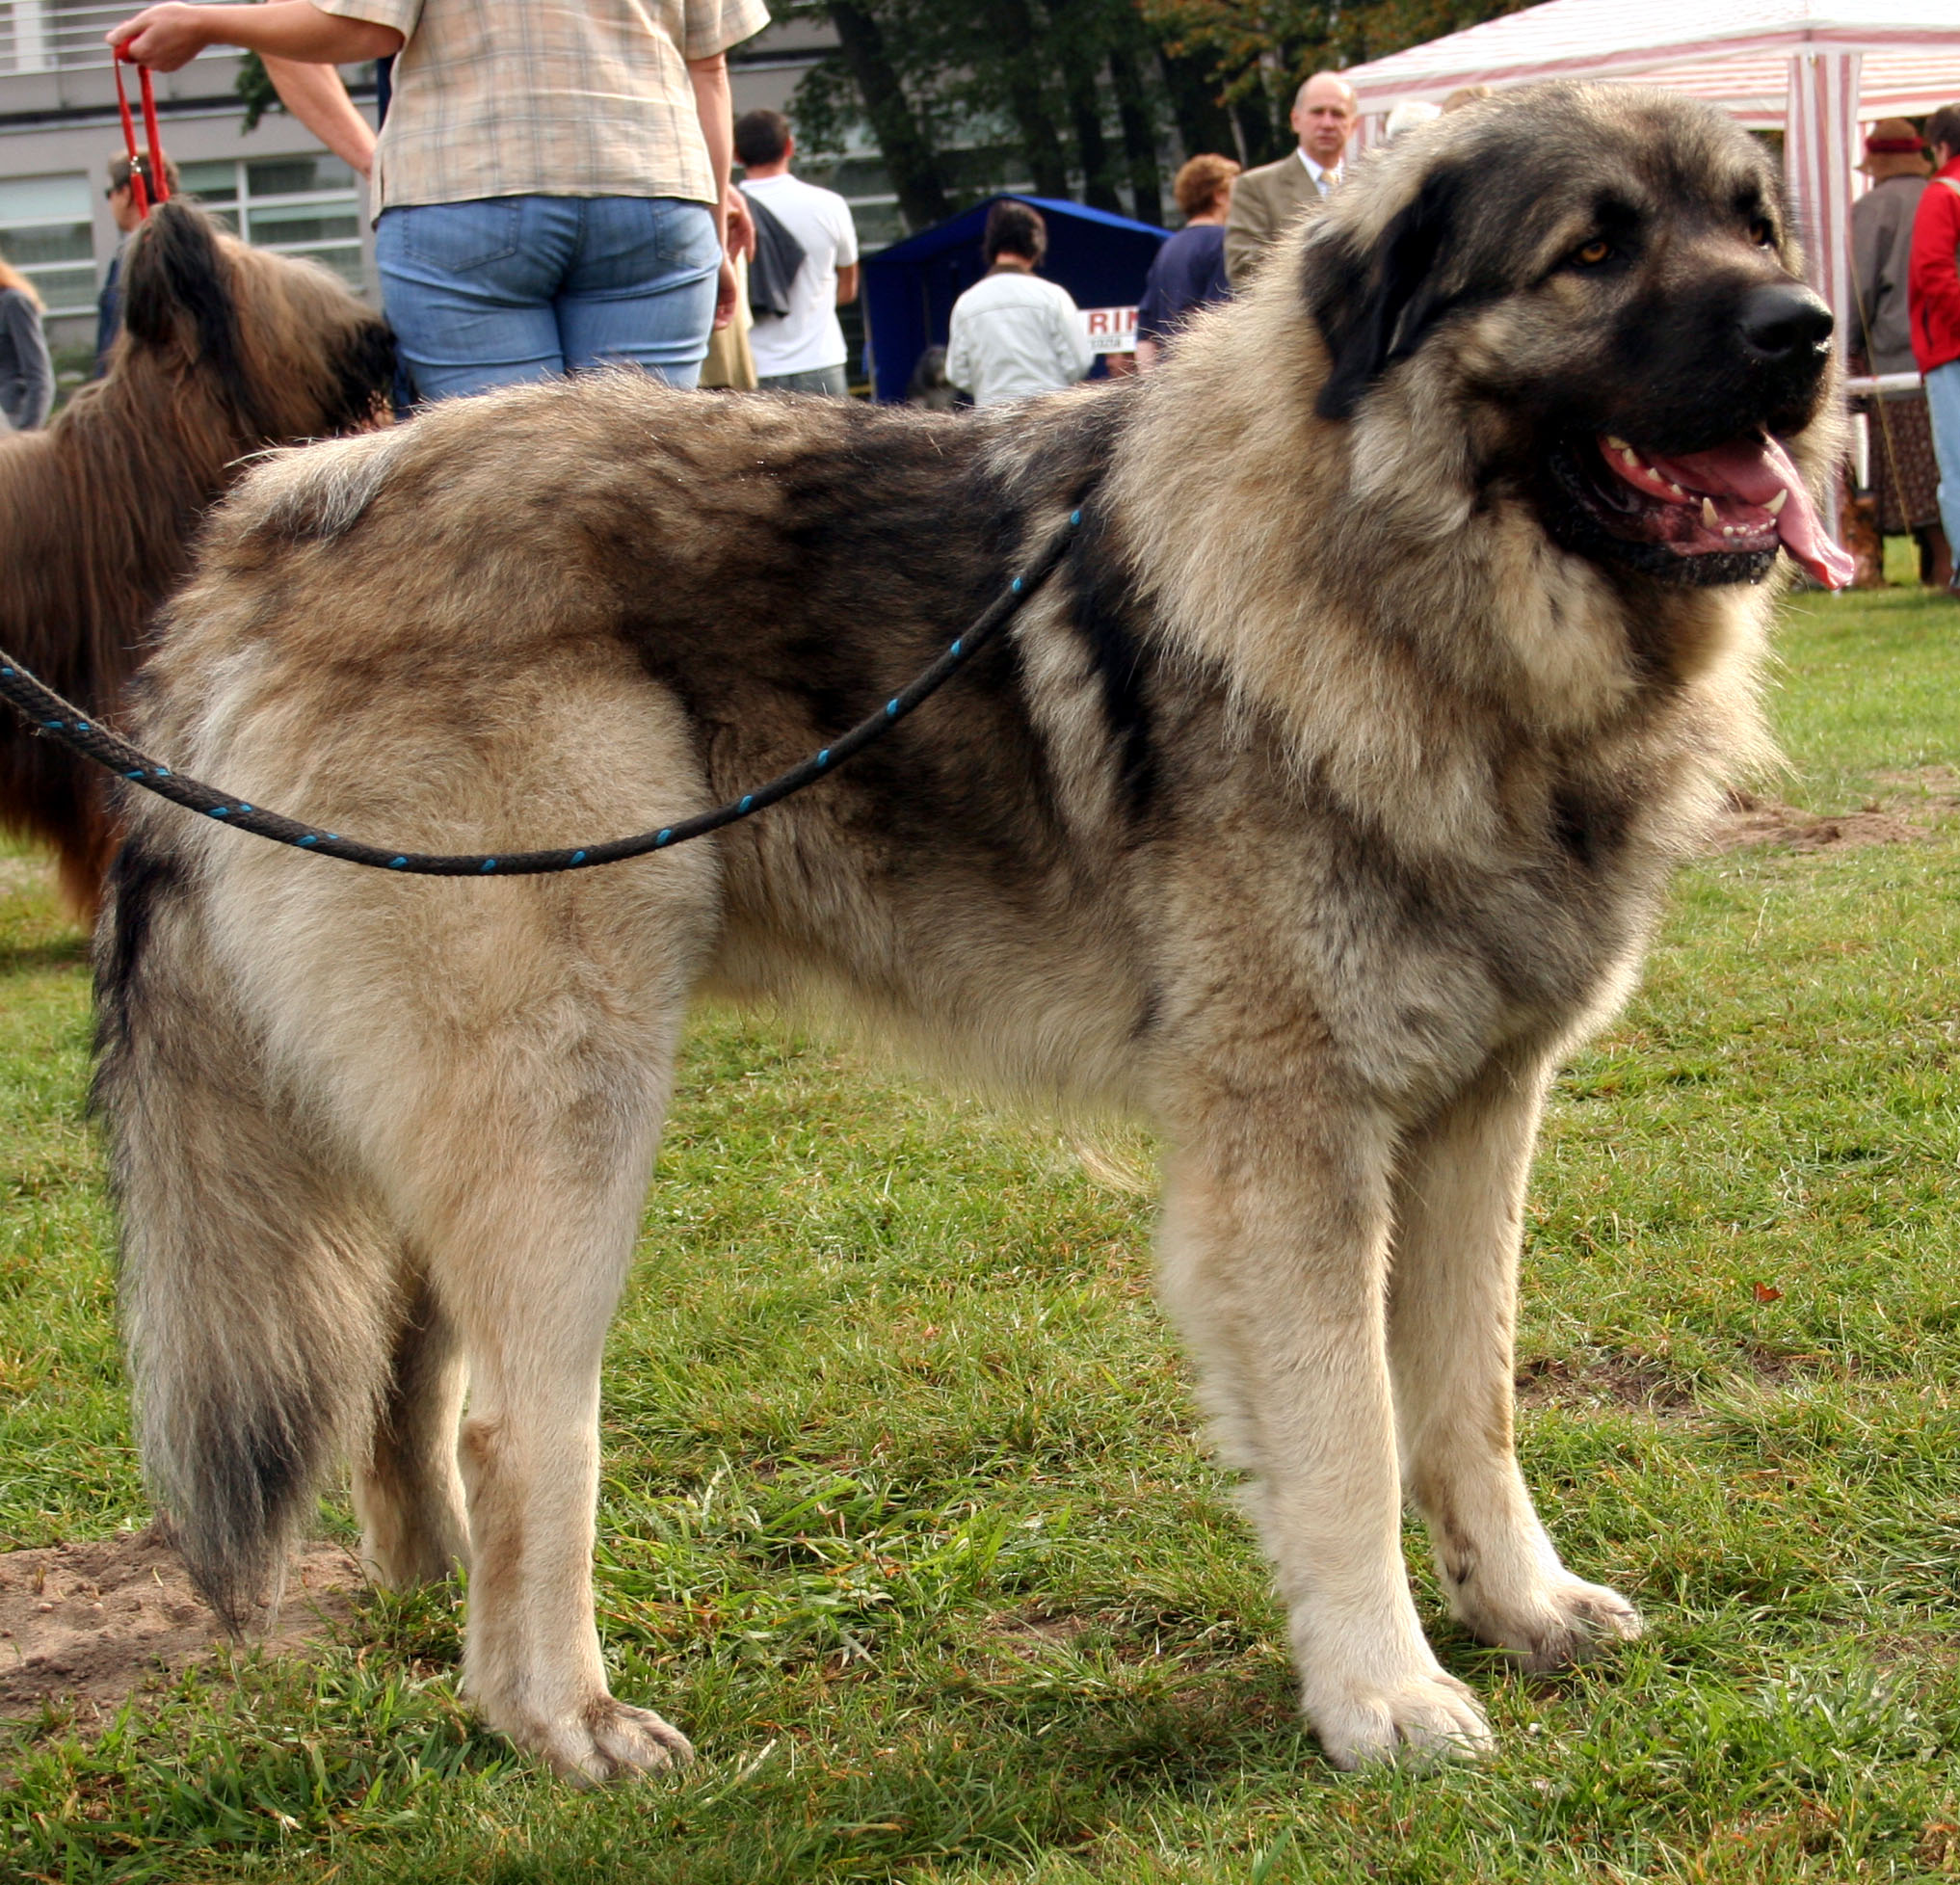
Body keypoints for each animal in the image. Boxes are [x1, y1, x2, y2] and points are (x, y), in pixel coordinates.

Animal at [88, 84, 1834, 1779]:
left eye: (1748, 225)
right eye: (1592, 253)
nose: (1804, 332)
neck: (1396, 583)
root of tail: (288, 505)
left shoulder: (1474, 1117)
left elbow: (1468, 1398)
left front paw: (1519, 1605)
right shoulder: (1292, 1153)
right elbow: (1342, 1440)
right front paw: (1381, 1697)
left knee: (413, 1364)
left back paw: (438, 1606)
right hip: (567, 1099)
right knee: (521, 1424)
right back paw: (560, 1716)